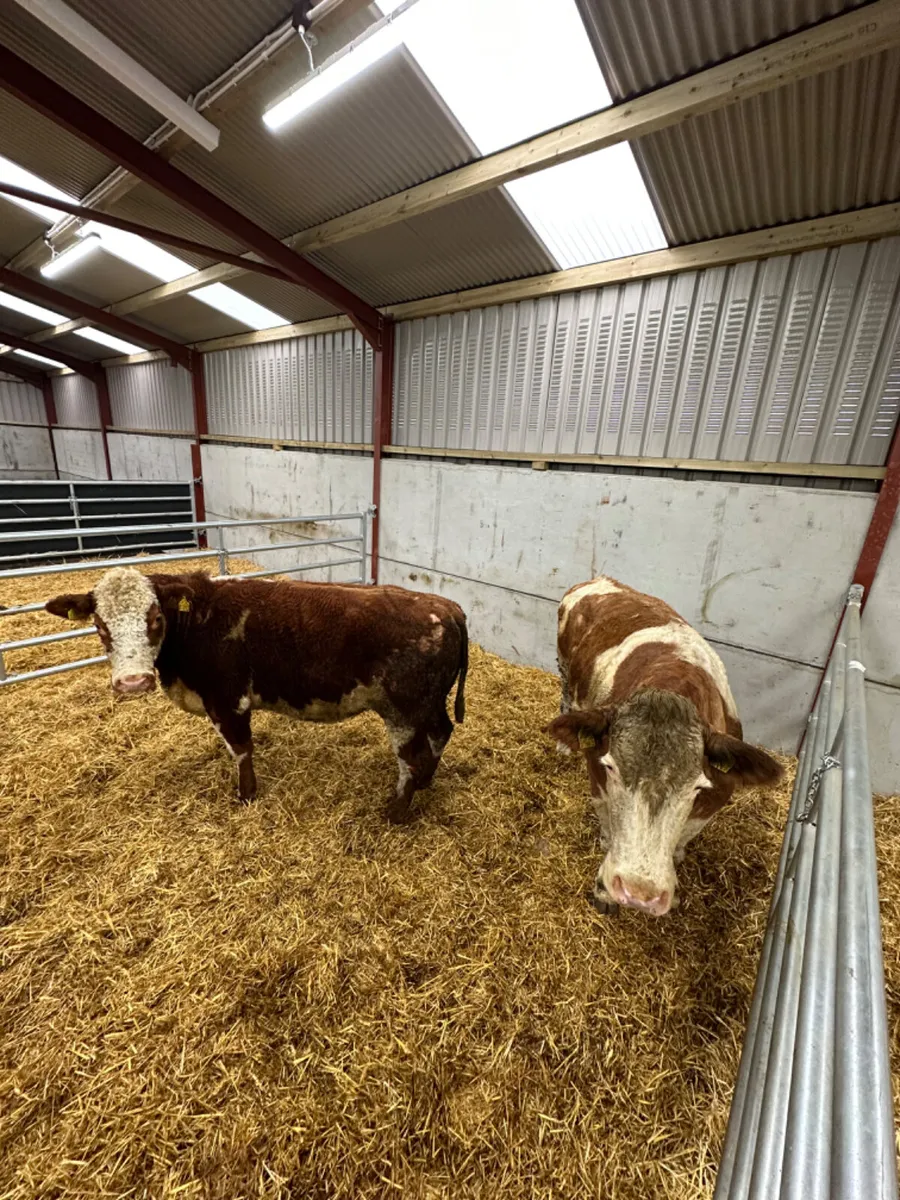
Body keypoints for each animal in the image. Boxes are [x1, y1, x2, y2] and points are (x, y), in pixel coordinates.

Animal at [46, 567, 468, 821]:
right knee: (441, 732)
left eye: (155, 619)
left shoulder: (227, 699)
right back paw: (426, 781)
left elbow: (241, 750)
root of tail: (447, 607)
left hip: (404, 708)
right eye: (99, 625)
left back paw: (397, 810)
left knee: (409, 757)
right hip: (430, 703)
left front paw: (246, 794)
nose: (133, 682)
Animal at [545, 576, 782, 916]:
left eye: (697, 787)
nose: (639, 893)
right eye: (612, 768)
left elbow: (683, 838)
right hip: (564, 666)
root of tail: (600, 579)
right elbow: (609, 832)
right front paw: (604, 892)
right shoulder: (598, 781)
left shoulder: (714, 799)